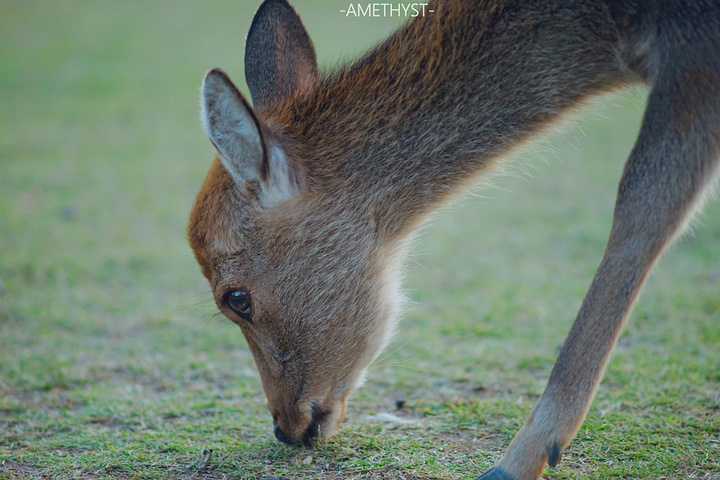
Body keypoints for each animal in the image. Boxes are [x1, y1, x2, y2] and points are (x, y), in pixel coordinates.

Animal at [187, 0, 720, 478]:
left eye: (235, 298)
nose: (284, 427)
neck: (613, 34)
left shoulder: (693, 52)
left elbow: (646, 198)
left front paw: (516, 461)